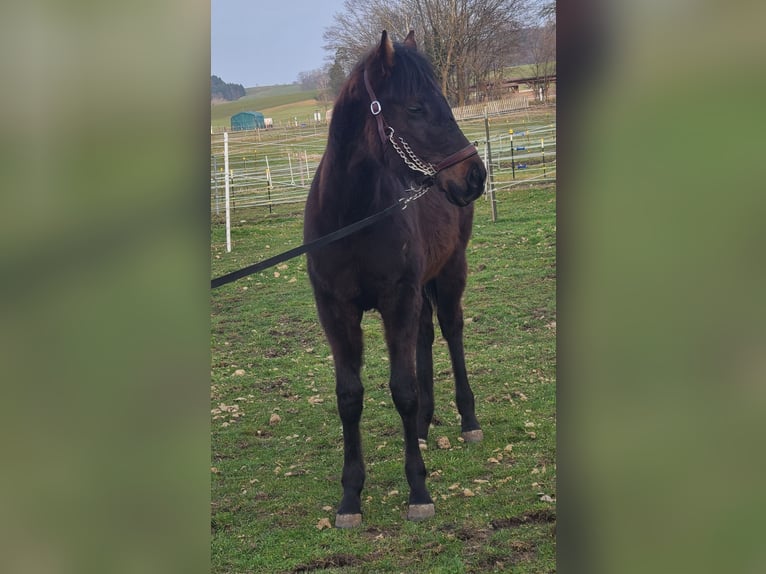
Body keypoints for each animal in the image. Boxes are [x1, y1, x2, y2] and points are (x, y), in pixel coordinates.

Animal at [303, 30, 487, 528]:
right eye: (416, 107)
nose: (475, 175)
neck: (351, 216)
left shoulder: (397, 299)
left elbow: (402, 389)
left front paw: (419, 492)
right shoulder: (336, 309)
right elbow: (349, 396)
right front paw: (350, 497)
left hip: (450, 271)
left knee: (451, 331)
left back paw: (468, 422)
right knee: (424, 336)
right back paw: (423, 426)